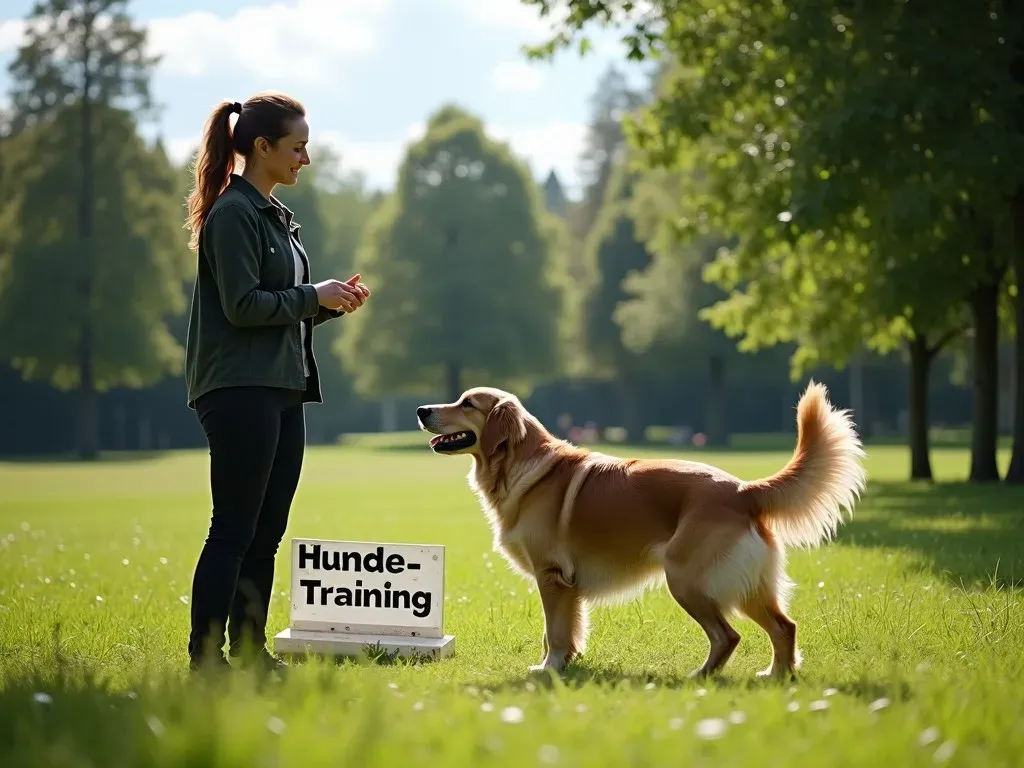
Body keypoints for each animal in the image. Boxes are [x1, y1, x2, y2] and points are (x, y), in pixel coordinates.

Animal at [413, 382, 864, 679]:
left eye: (467, 403)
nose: (421, 410)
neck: (519, 466)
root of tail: (742, 490)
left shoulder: (551, 576)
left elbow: (553, 632)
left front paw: (548, 668)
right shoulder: (567, 586)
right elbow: (565, 630)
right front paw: (567, 663)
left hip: (686, 579)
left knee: (728, 635)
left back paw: (701, 677)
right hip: (746, 584)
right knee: (784, 627)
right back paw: (777, 677)